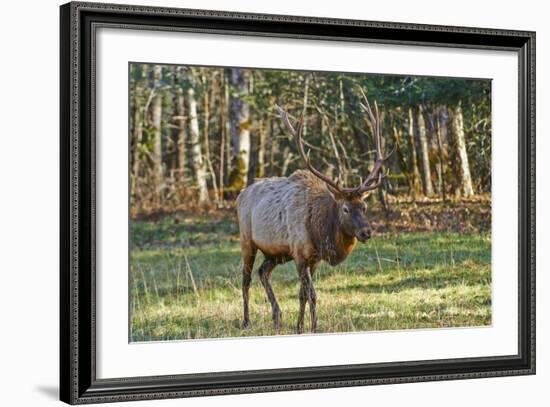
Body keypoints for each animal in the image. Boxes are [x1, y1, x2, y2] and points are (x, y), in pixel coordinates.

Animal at [237, 90, 388, 334]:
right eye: (345, 208)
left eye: (364, 207)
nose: (366, 232)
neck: (319, 231)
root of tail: (240, 194)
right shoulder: (300, 254)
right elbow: (311, 294)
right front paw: (310, 327)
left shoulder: (313, 259)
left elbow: (303, 295)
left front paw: (303, 327)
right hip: (247, 240)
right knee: (246, 278)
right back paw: (246, 321)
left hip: (276, 253)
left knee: (263, 272)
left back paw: (277, 316)